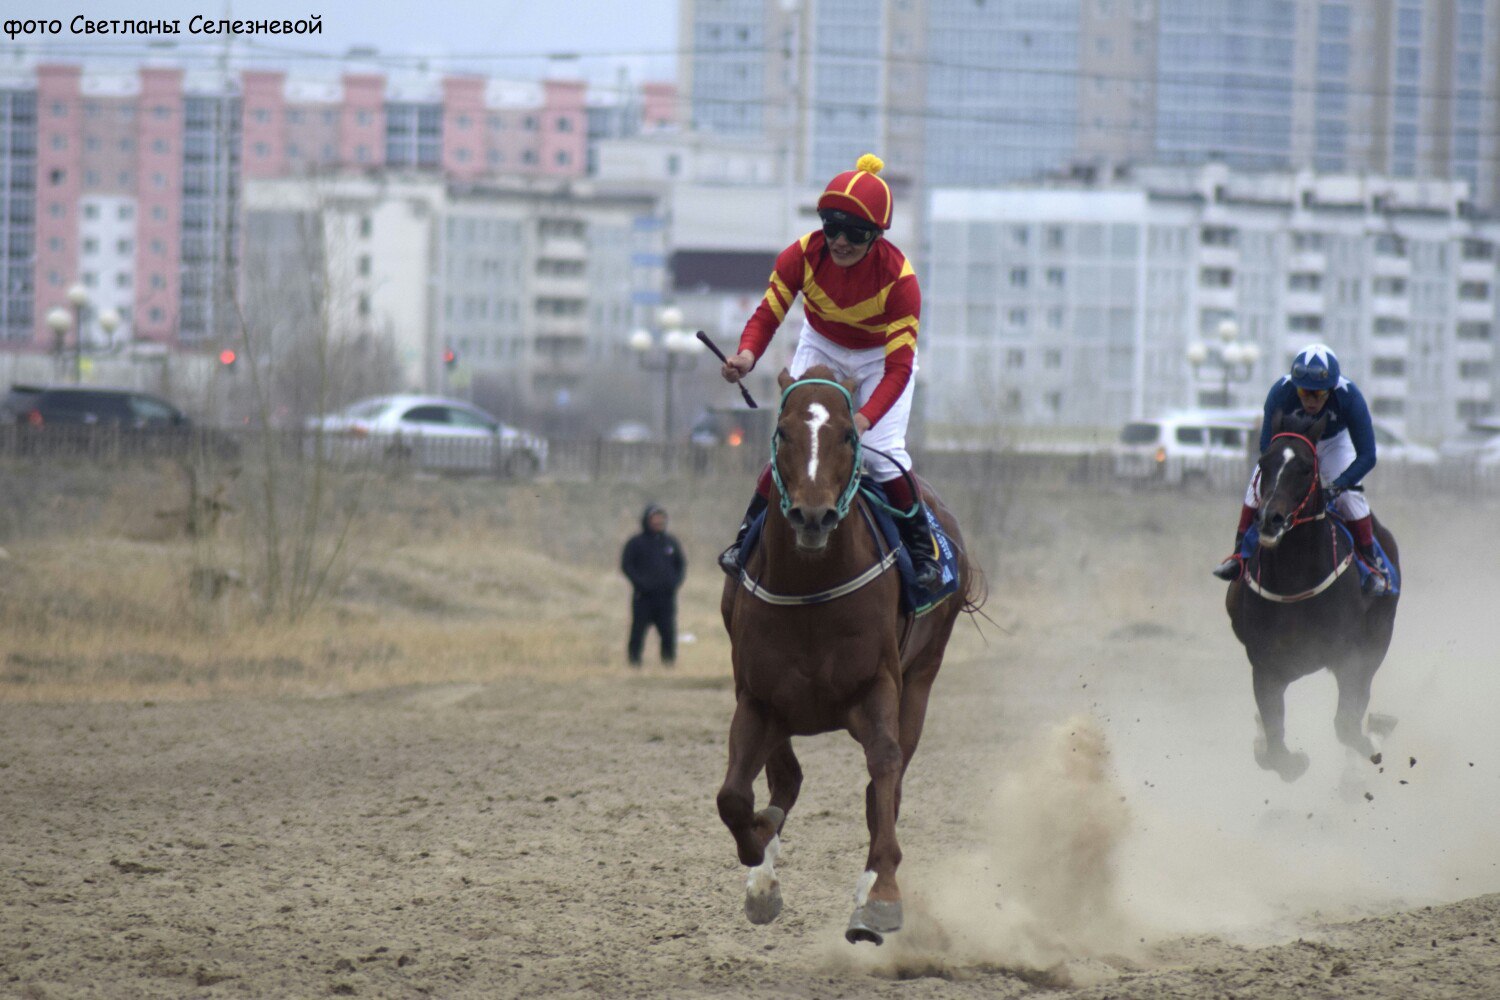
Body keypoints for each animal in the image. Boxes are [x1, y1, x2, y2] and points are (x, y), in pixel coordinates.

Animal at [717, 367, 978, 947]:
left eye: (847, 435)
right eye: (784, 433)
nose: (811, 516)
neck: (811, 587)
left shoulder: (878, 687)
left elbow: (884, 767)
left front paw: (879, 897)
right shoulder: (758, 698)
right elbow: (735, 798)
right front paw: (760, 862)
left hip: (922, 678)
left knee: (887, 784)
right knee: (786, 780)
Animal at [1224, 410, 1398, 785]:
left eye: (1305, 468)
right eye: (1263, 462)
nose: (1270, 519)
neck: (1295, 580)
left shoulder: (1350, 658)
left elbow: (1346, 723)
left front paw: (1371, 742)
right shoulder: (1266, 667)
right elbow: (1275, 742)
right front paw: (1287, 758)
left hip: (1378, 639)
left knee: (1360, 701)